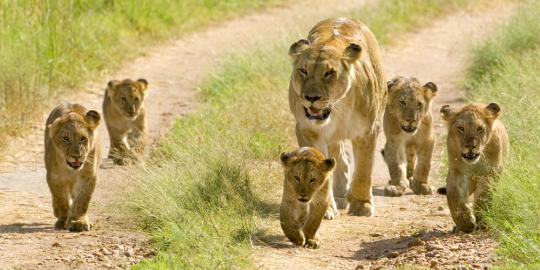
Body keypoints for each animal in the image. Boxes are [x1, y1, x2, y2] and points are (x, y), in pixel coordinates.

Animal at [288, 17, 386, 217]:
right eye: (303, 71)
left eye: (329, 73)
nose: (311, 97)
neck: (338, 109)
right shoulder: (308, 131)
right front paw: (322, 208)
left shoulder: (368, 132)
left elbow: (364, 169)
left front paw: (362, 206)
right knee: (340, 159)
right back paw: (340, 196)